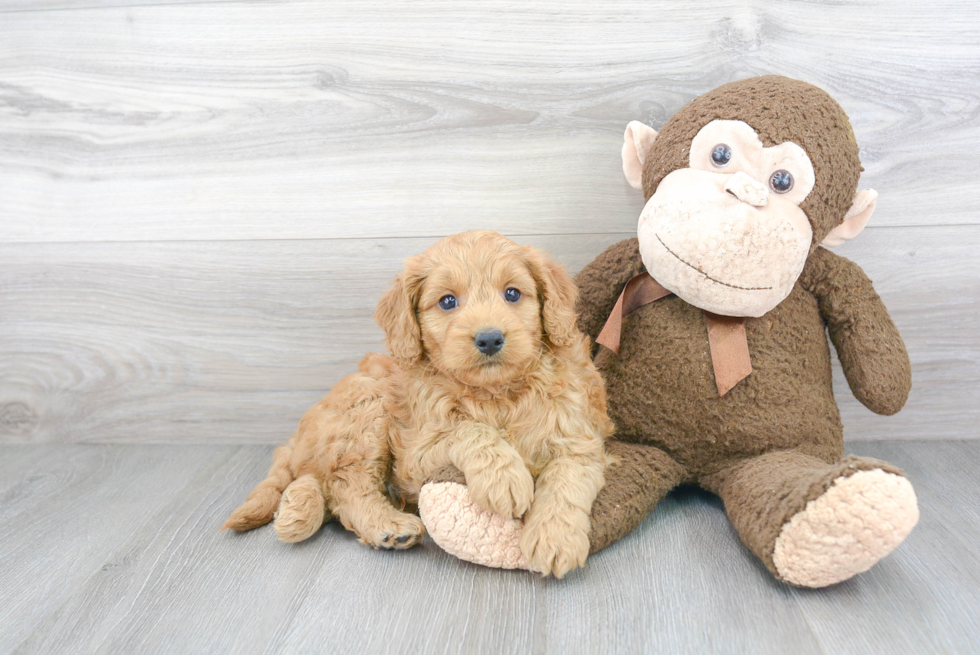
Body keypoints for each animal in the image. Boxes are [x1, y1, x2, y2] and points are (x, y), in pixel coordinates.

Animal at [226, 231, 616, 580]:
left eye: (512, 293)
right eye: (447, 301)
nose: (489, 338)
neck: (495, 395)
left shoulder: (578, 438)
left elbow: (567, 482)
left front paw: (555, 539)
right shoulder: (415, 454)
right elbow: (467, 429)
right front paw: (503, 477)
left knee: (317, 482)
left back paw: (297, 508)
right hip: (368, 409)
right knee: (345, 483)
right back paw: (387, 525)